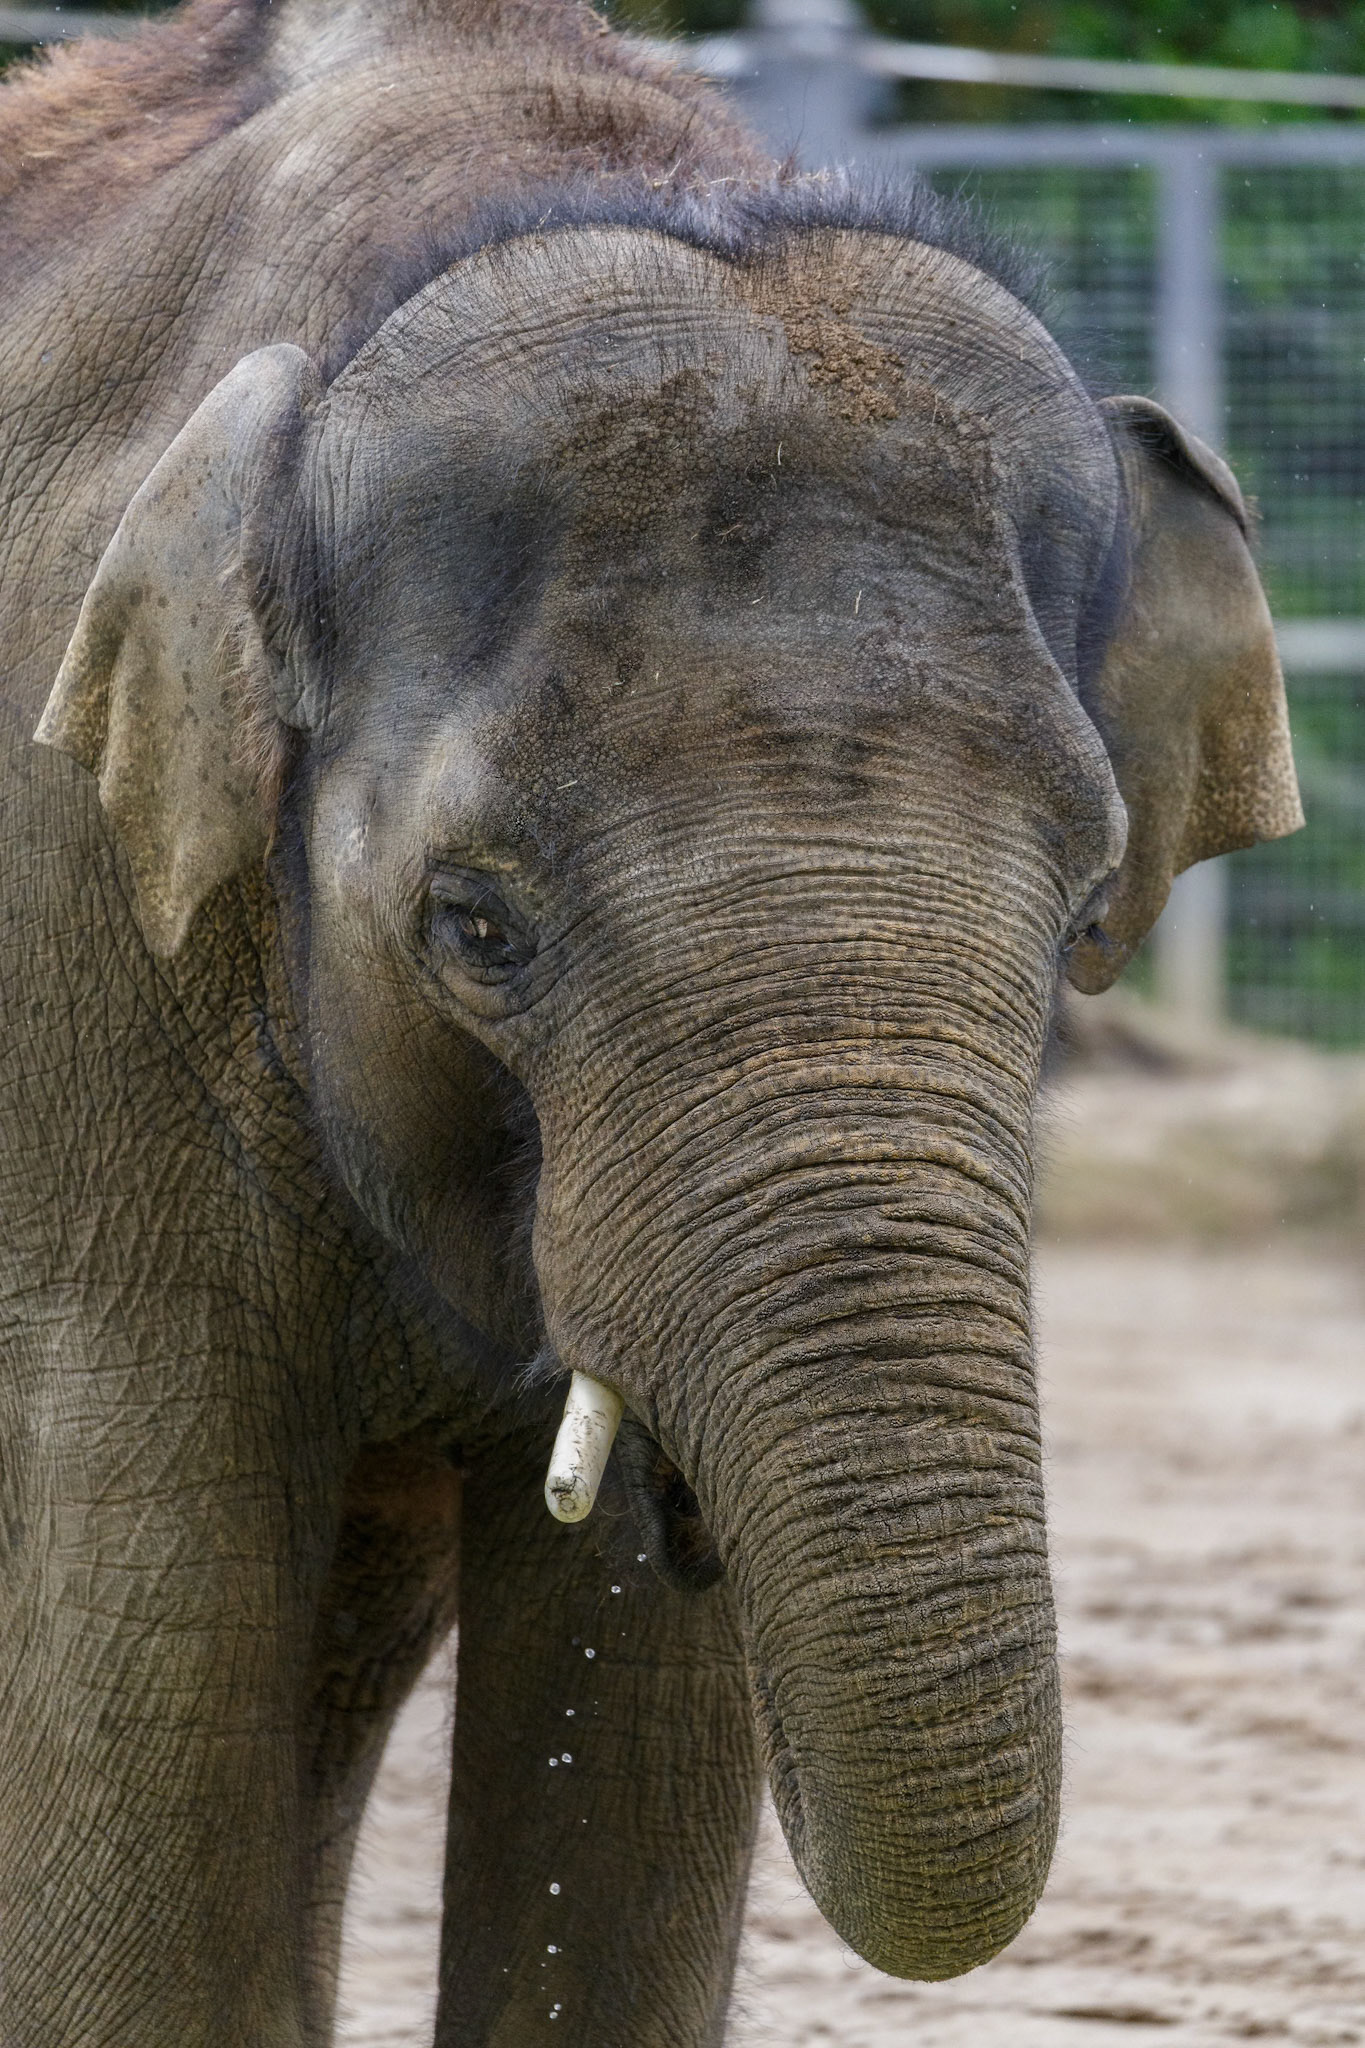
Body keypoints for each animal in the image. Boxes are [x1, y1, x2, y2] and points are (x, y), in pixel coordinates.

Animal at [0, 1, 1302, 2042]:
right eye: (475, 924)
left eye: (1090, 909)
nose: (706, 1520)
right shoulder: (78, 931)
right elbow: (138, 1635)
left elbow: (622, 1730)